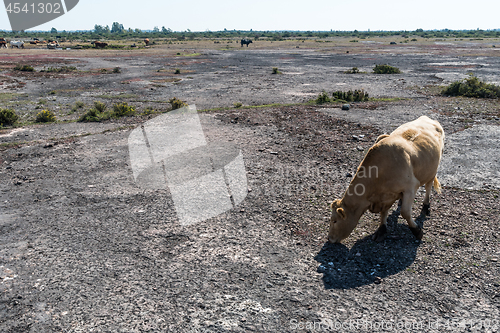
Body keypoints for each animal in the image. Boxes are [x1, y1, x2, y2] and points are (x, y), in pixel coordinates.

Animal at [328, 115, 446, 243]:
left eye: (335, 221)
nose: (329, 238)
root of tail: (427, 118)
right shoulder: (385, 197)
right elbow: (384, 212)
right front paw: (382, 229)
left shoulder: (411, 186)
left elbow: (405, 212)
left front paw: (417, 231)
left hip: (433, 170)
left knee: (428, 186)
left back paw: (426, 205)